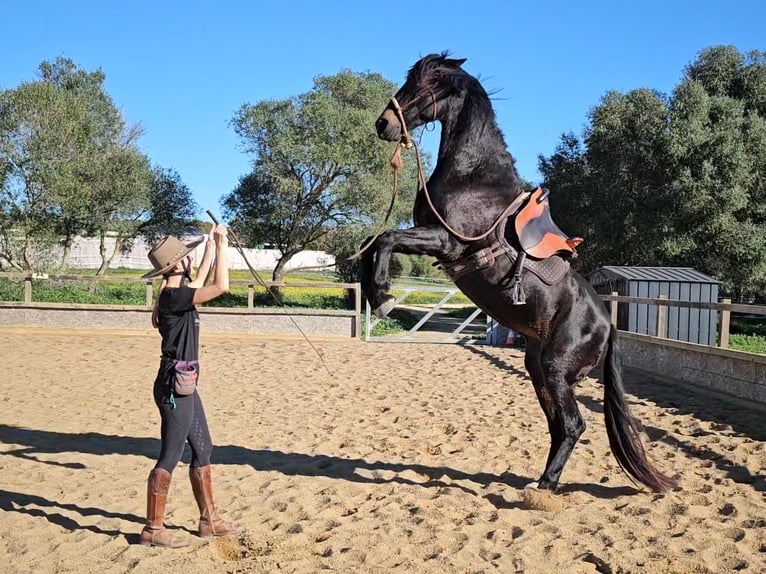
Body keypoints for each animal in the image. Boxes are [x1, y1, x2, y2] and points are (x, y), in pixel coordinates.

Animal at [364, 54, 680, 496]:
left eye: (430, 83)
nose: (384, 124)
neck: (472, 177)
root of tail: (608, 325)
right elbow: (374, 243)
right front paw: (371, 292)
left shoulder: (447, 242)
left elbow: (386, 240)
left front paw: (383, 297)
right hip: (538, 369)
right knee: (559, 427)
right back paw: (540, 480)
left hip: (556, 370)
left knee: (573, 425)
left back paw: (545, 485)